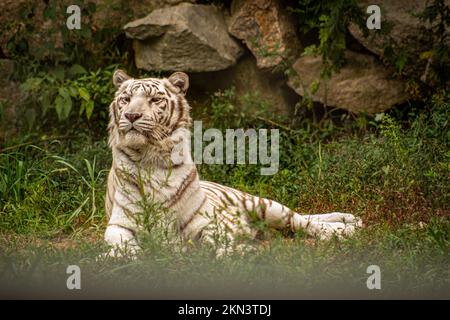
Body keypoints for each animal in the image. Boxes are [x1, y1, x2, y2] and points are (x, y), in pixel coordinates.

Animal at [103, 70, 362, 258]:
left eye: (154, 99)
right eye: (126, 99)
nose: (131, 116)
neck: (151, 157)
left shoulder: (205, 222)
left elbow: (218, 241)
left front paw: (237, 252)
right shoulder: (119, 225)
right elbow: (123, 246)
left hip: (265, 206)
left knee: (304, 221)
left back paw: (348, 227)